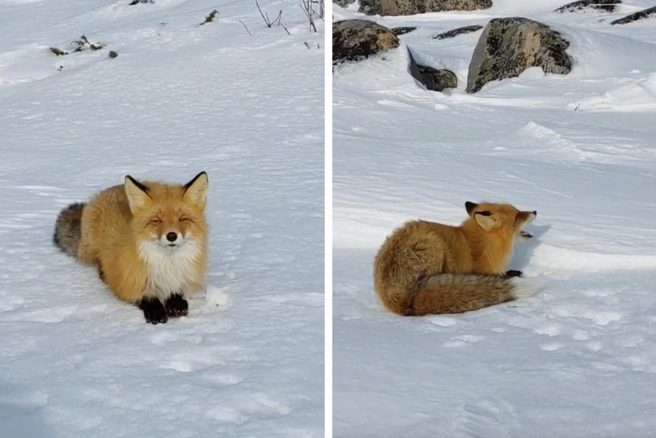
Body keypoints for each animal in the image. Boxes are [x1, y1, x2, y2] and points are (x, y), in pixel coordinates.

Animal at [53, 173, 208, 324]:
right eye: (156, 220)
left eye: (183, 219)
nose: (171, 235)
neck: (167, 265)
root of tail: (115, 187)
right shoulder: (125, 283)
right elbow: (143, 297)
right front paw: (155, 310)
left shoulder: (184, 279)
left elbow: (178, 293)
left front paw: (176, 303)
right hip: (89, 248)